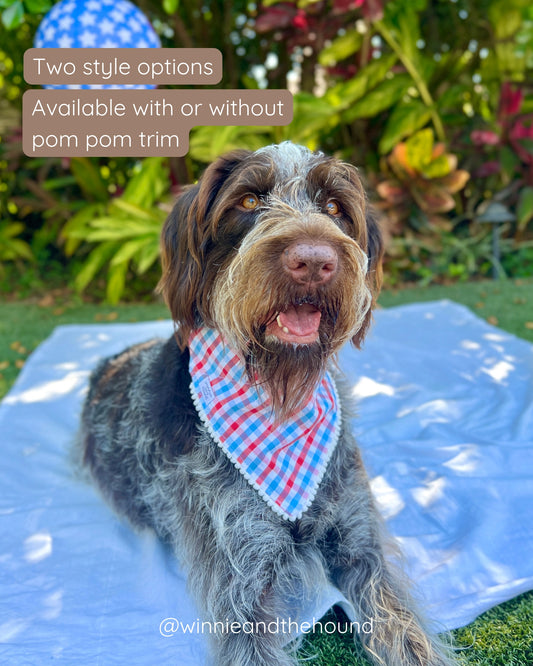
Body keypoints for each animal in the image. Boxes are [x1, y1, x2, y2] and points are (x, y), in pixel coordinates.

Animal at [79, 143, 454, 660]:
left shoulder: (362, 549)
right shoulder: (241, 583)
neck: (281, 401)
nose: (314, 261)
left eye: (334, 207)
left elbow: (404, 630)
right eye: (249, 201)